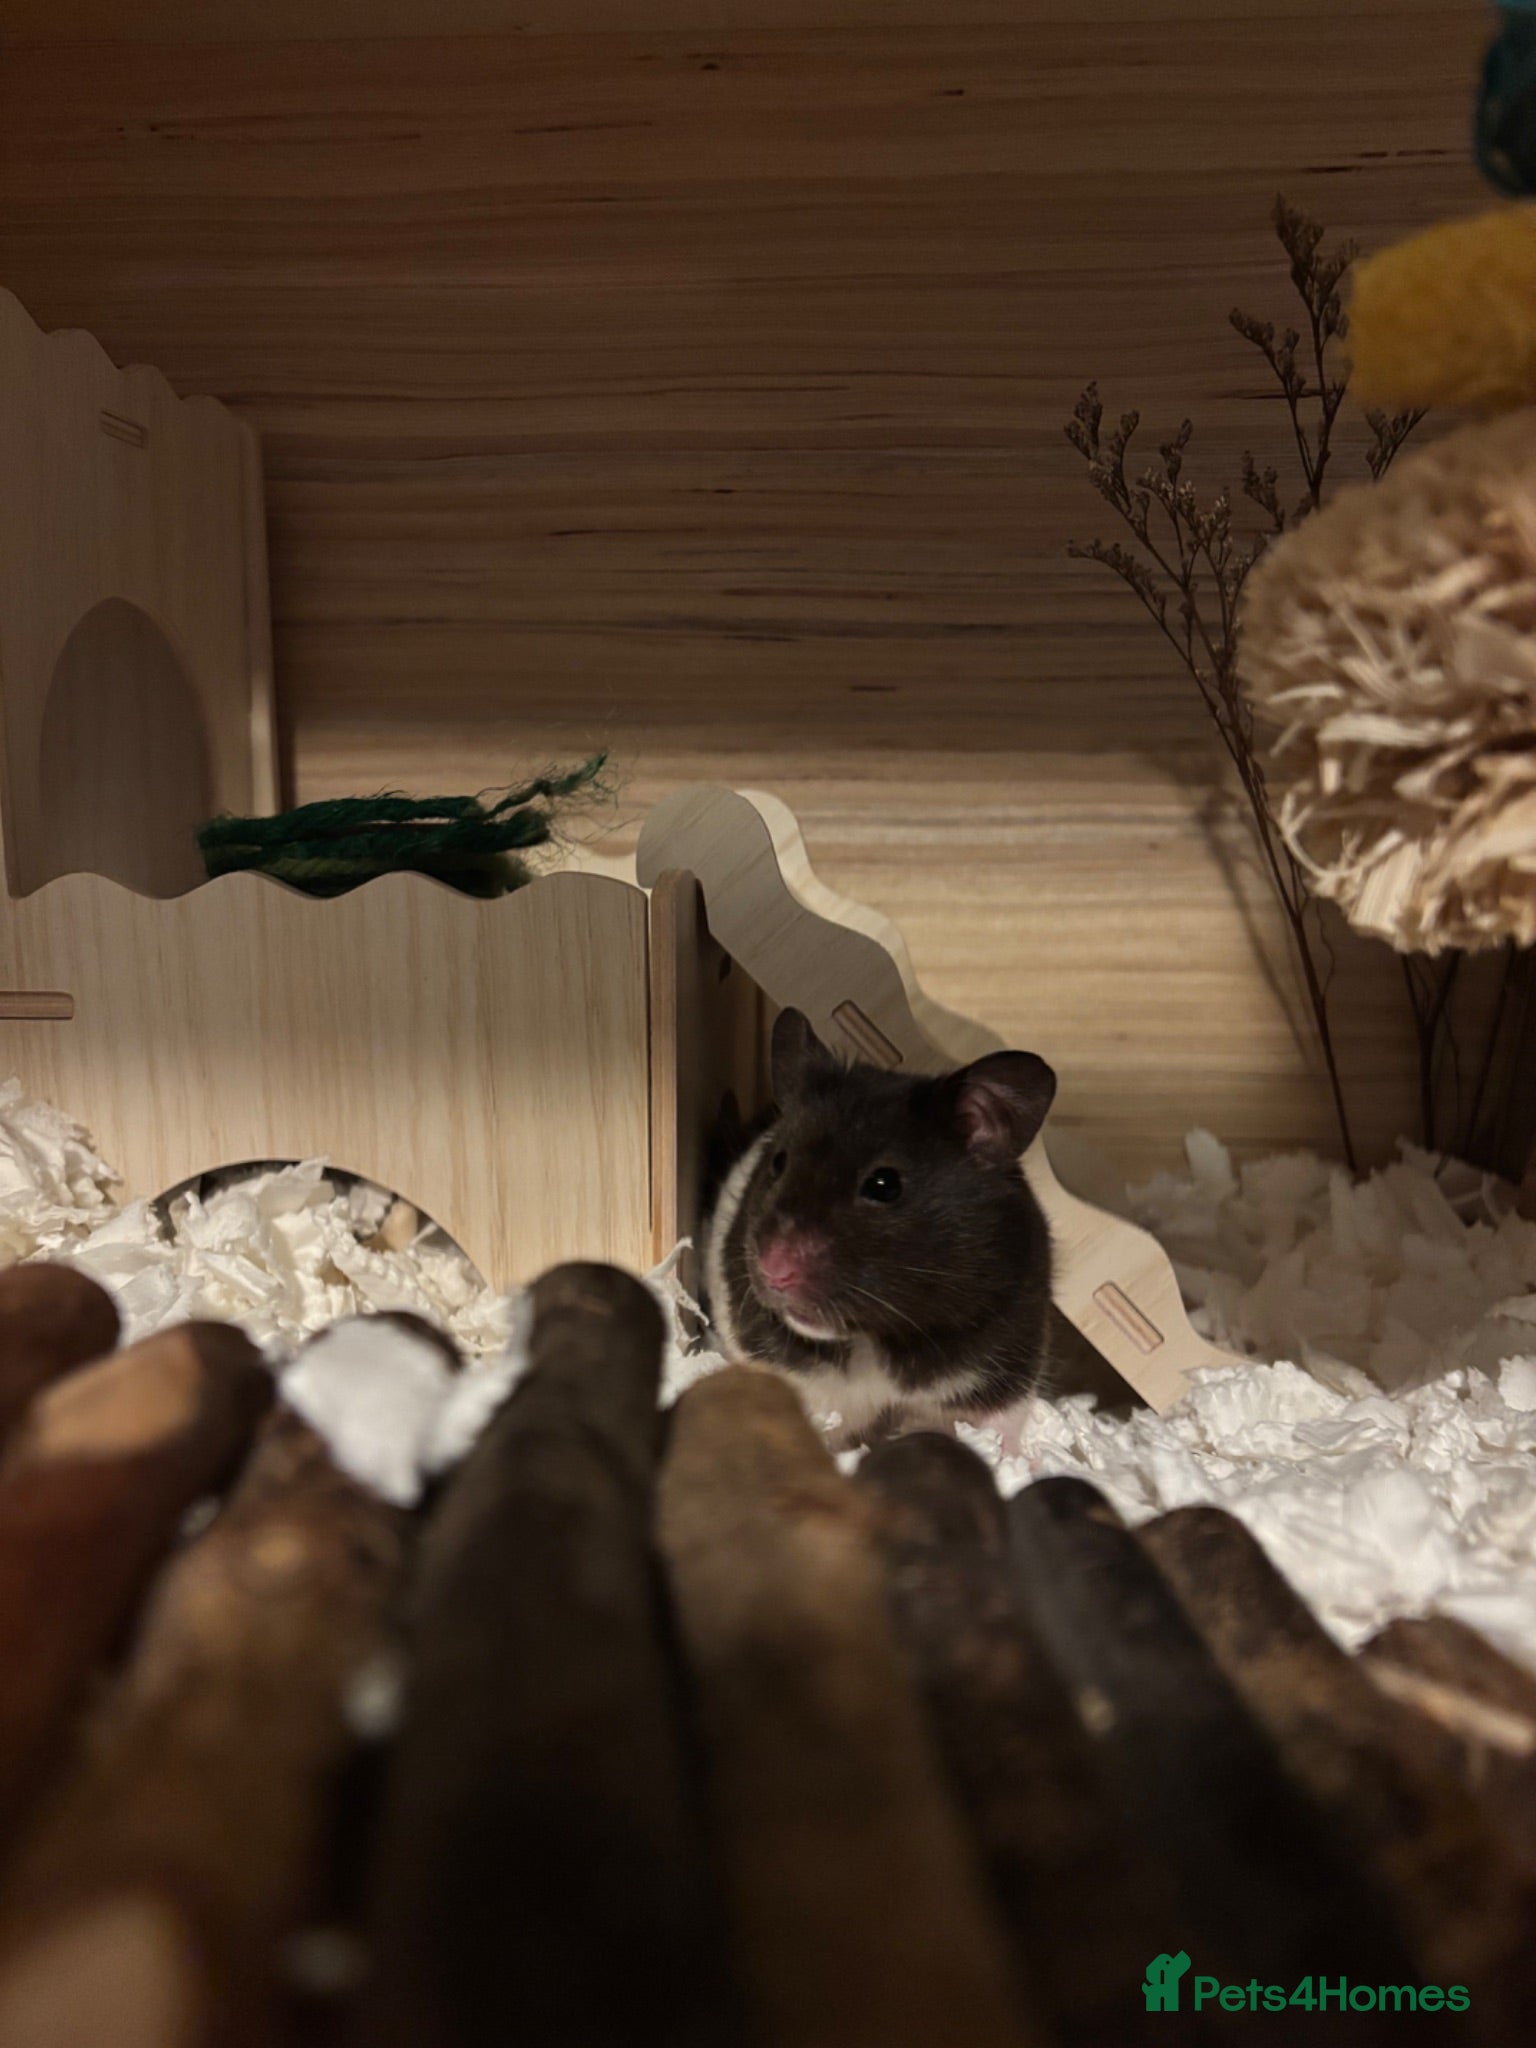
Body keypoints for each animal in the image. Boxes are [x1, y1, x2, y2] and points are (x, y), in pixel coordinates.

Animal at [702, 1007, 1057, 1448]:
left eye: (884, 1185)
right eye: (779, 1162)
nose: (774, 1270)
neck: (877, 1337)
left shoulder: (1003, 1369)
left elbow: (1000, 1426)